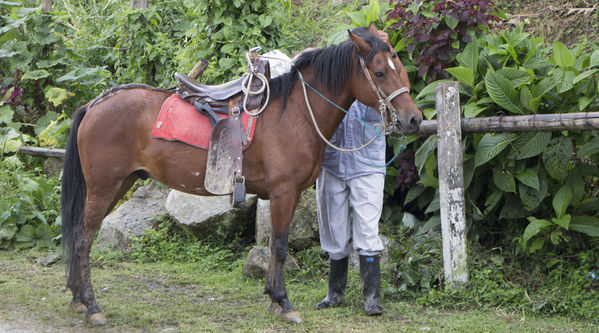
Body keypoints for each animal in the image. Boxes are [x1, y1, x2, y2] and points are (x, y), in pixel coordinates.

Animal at [61, 23, 422, 324]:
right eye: (379, 72)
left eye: (400, 68)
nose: (414, 119)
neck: (296, 113)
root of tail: (94, 105)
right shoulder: (284, 192)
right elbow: (280, 245)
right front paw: (284, 303)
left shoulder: (283, 195)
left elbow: (276, 244)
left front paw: (273, 297)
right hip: (104, 187)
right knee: (82, 238)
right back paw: (92, 306)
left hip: (117, 185)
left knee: (81, 235)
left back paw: (78, 298)